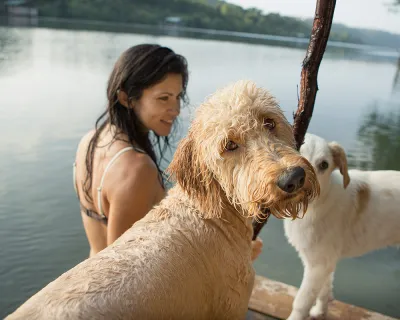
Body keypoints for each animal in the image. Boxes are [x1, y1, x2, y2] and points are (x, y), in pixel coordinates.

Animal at [284, 133, 400, 320]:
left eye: (324, 165)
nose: (301, 183)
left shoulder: (317, 265)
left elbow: (302, 301)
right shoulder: (324, 261)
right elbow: (324, 291)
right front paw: (320, 312)